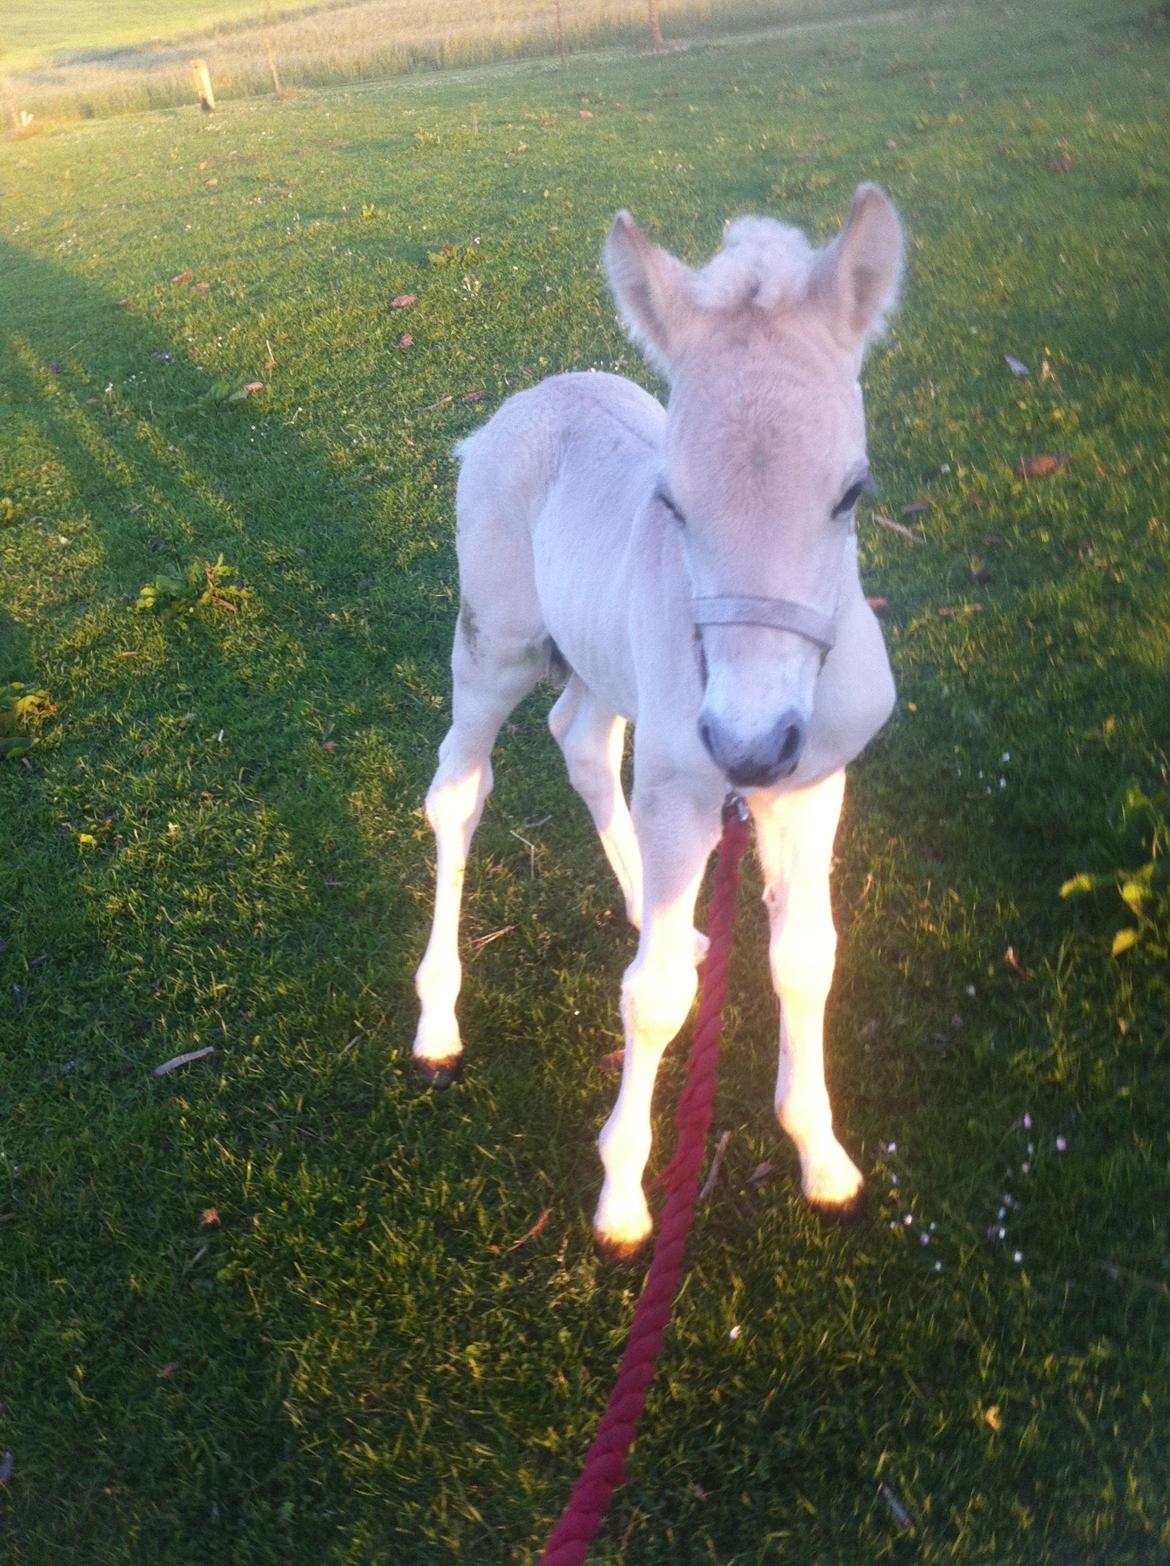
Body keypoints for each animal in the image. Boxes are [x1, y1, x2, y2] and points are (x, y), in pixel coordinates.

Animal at [413, 183, 908, 1259]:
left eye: (853, 493)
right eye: (671, 503)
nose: (750, 744)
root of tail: (519, 408)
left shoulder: (814, 779)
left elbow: (807, 958)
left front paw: (823, 1160)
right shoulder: (687, 781)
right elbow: (654, 1001)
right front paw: (622, 1200)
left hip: (606, 658)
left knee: (583, 741)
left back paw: (659, 913)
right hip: (494, 644)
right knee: (458, 791)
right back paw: (436, 1023)